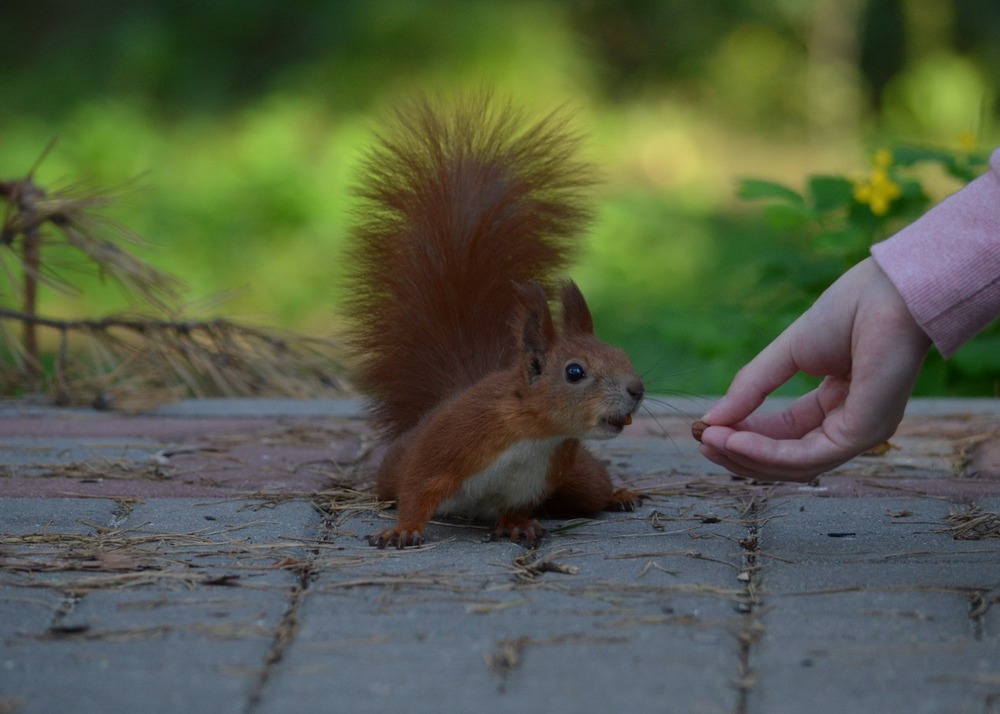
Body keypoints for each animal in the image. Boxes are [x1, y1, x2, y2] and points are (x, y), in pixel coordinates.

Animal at [342, 96, 640, 552]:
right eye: (574, 372)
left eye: (623, 354)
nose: (636, 390)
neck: (535, 435)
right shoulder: (446, 448)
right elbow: (417, 487)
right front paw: (403, 529)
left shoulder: (537, 479)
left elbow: (517, 507)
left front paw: (517, 525)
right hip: (391, 469)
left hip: (579, 478)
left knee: (594, 491)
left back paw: (620, 494)